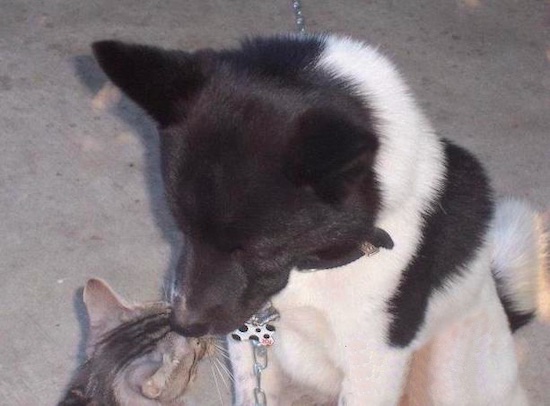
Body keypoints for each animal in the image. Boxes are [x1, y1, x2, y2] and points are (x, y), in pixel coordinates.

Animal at [92, 33, 548, 404]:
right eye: (181, 227)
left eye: (261, 249)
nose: (183, 326)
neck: (317, 263)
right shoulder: (248, 340)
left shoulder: (373, 364)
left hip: (451, 373)